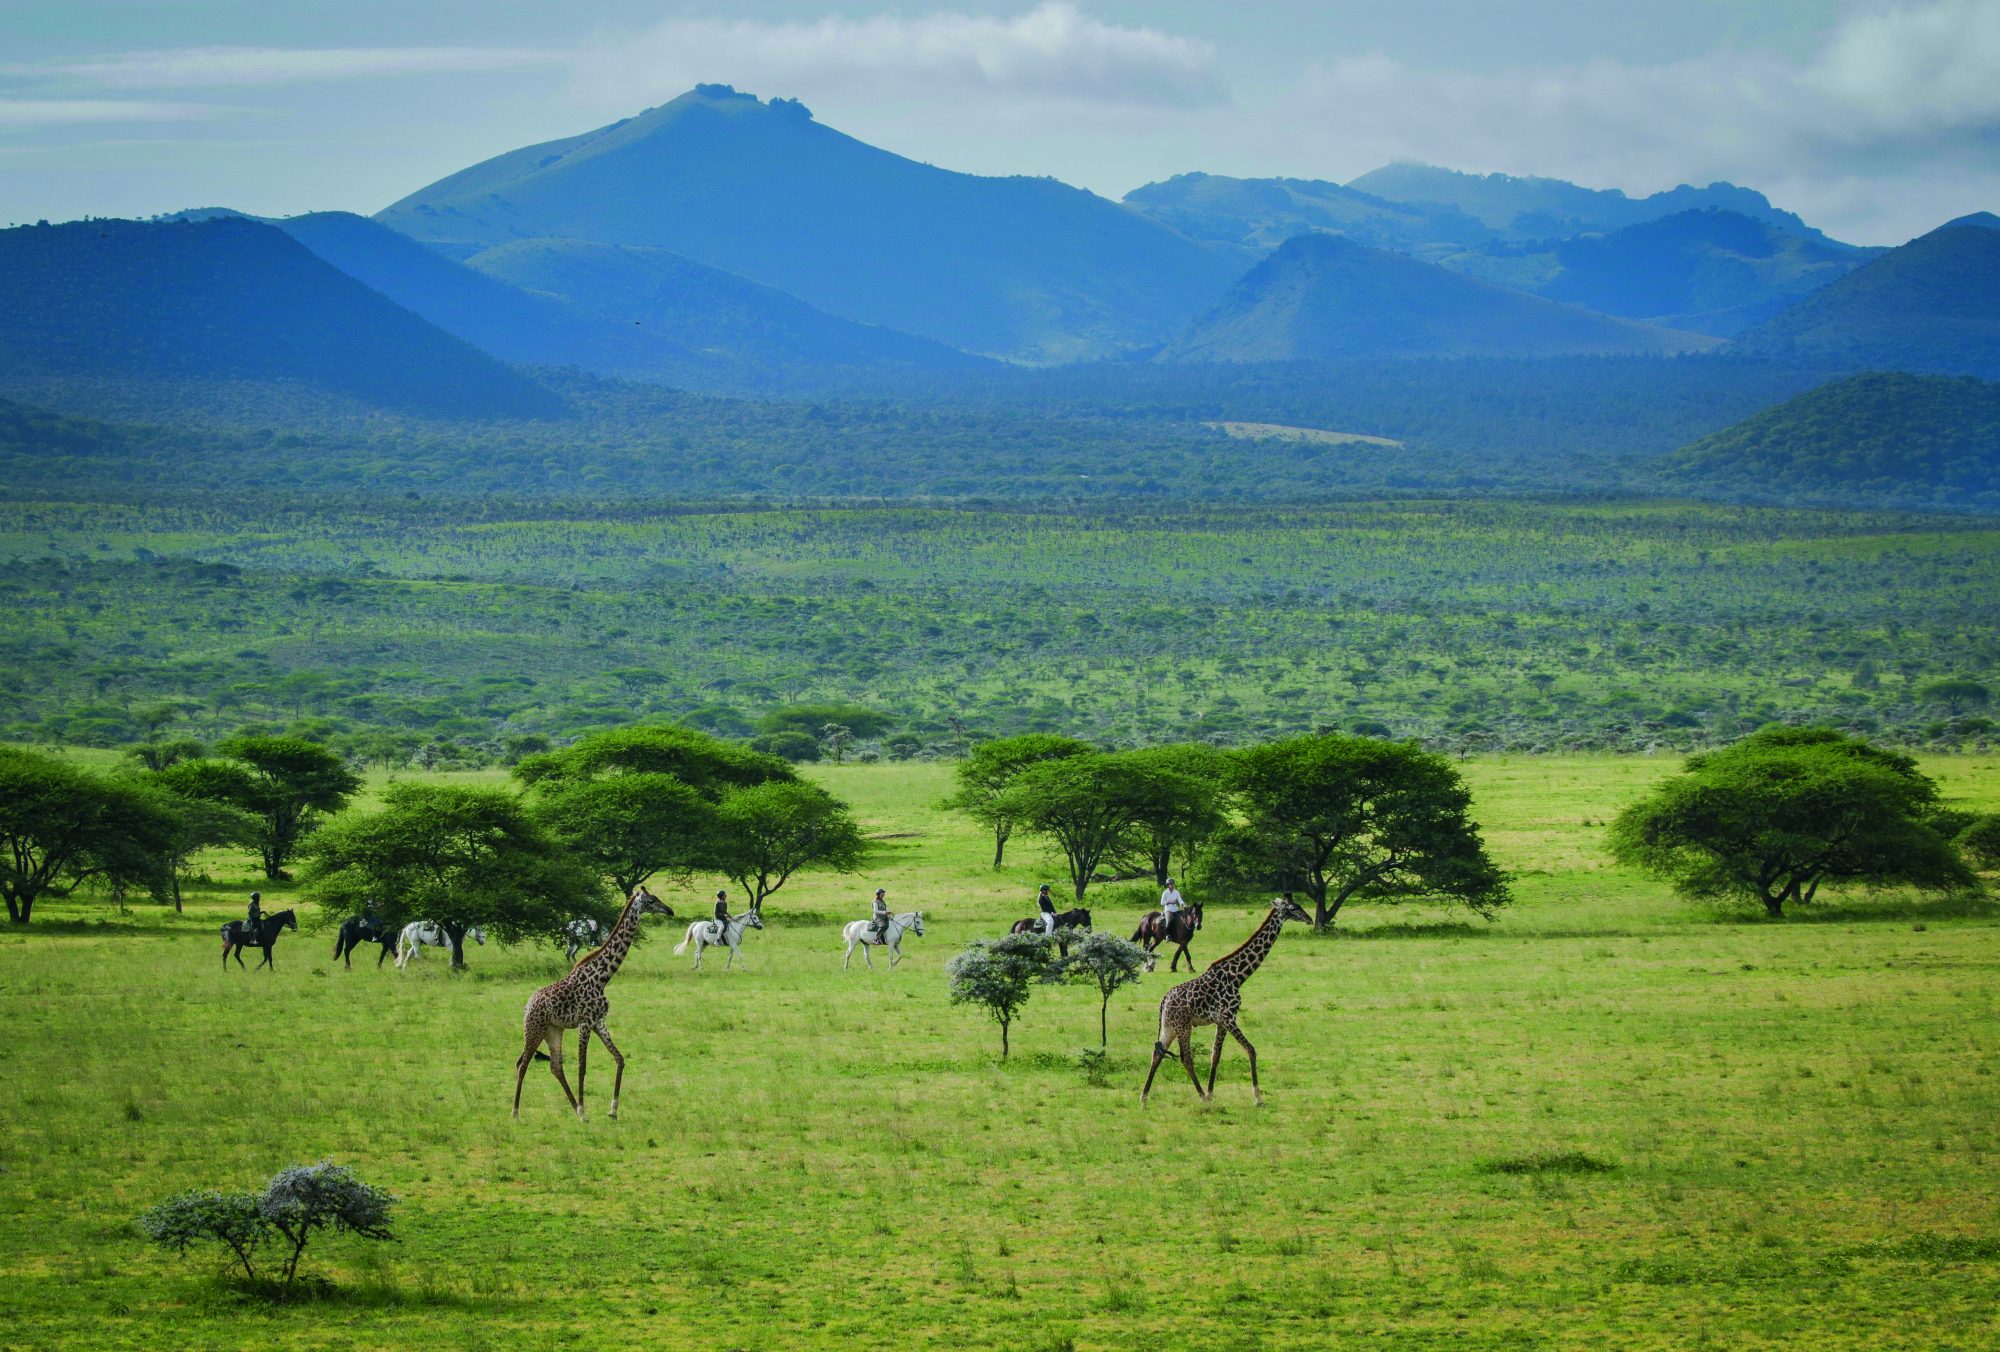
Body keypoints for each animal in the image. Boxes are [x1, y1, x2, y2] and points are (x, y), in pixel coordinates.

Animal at [513, 888, 672, 1121]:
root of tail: (527, 1006)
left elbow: (620, 1059)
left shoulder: (599, 1022)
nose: (669, 911)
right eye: (651, 901)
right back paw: (516, 1113)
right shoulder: (585, 1022)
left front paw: (612, 1110)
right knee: (523, 1064)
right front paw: (585, 1109)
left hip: (553, 1030)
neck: (602, 978)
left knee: (555, 1066)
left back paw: (574, 1110)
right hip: (534, 1028)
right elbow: (582, 1066)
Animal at [1142, 895, 1313, 1106]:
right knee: (1185, 1057)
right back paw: (1200, 1096)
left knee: (1157, 1053)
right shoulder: (1228, 1017)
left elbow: (1215, 1055)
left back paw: (1144, 1099)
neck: (1237, 977)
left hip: (1169, 1026)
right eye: (1293, 908)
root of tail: (1164, 1000)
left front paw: (1211, 1092)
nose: (1309, 919)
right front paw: (1257, 1097)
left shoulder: (1221, 1021)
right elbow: (1251, 1050)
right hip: (1183, 1026)